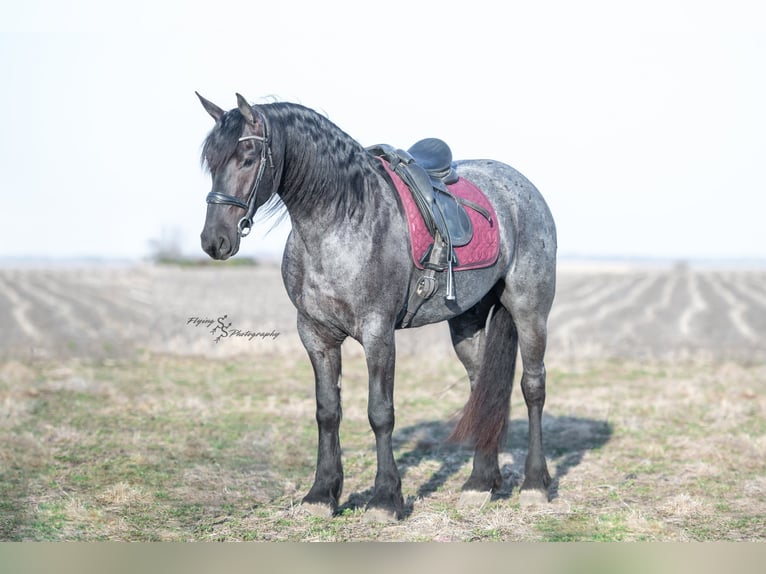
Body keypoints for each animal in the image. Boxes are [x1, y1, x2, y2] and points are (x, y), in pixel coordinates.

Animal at [196, 93, 557, 520]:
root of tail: (522, 187)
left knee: (533, 387)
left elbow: (380, 413)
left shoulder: (377, 332)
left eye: (249, 157)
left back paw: (535, 484)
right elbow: (327, 411)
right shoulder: (315, 334)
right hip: (466, 322)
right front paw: (322, 493)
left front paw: (385, 498)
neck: (342, 222)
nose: (214, 240)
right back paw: (479, 484)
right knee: (481, 389)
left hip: (530, 310)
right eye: (211, 161)